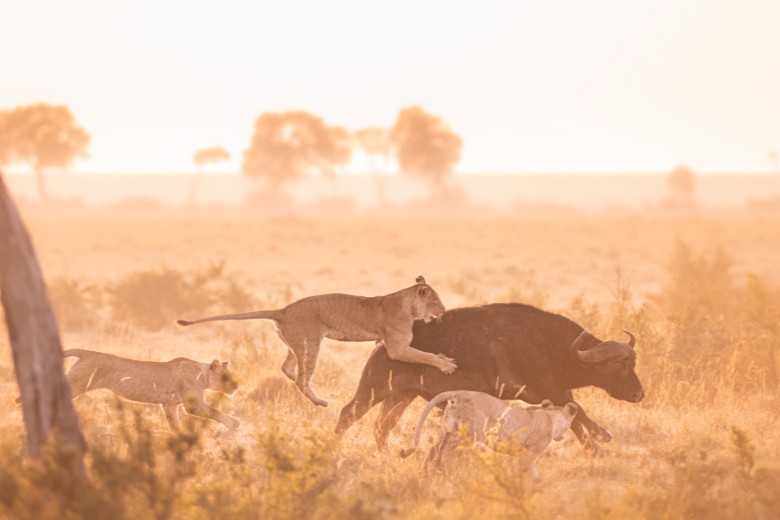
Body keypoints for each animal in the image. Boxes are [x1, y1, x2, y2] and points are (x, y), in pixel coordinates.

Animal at [336, 303, 645, 453]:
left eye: (634, 362)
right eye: (619, 366)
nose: (639, 393)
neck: (551, 345)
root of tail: (382, 345)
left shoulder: (555, 393)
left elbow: (575, 415)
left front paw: (594, 446)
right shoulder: (545, 390)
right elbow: (579, 412)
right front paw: (602, 438)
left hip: (400, 398)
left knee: (382, 427)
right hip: (372, 391)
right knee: (348, 414)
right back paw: (334, 446)